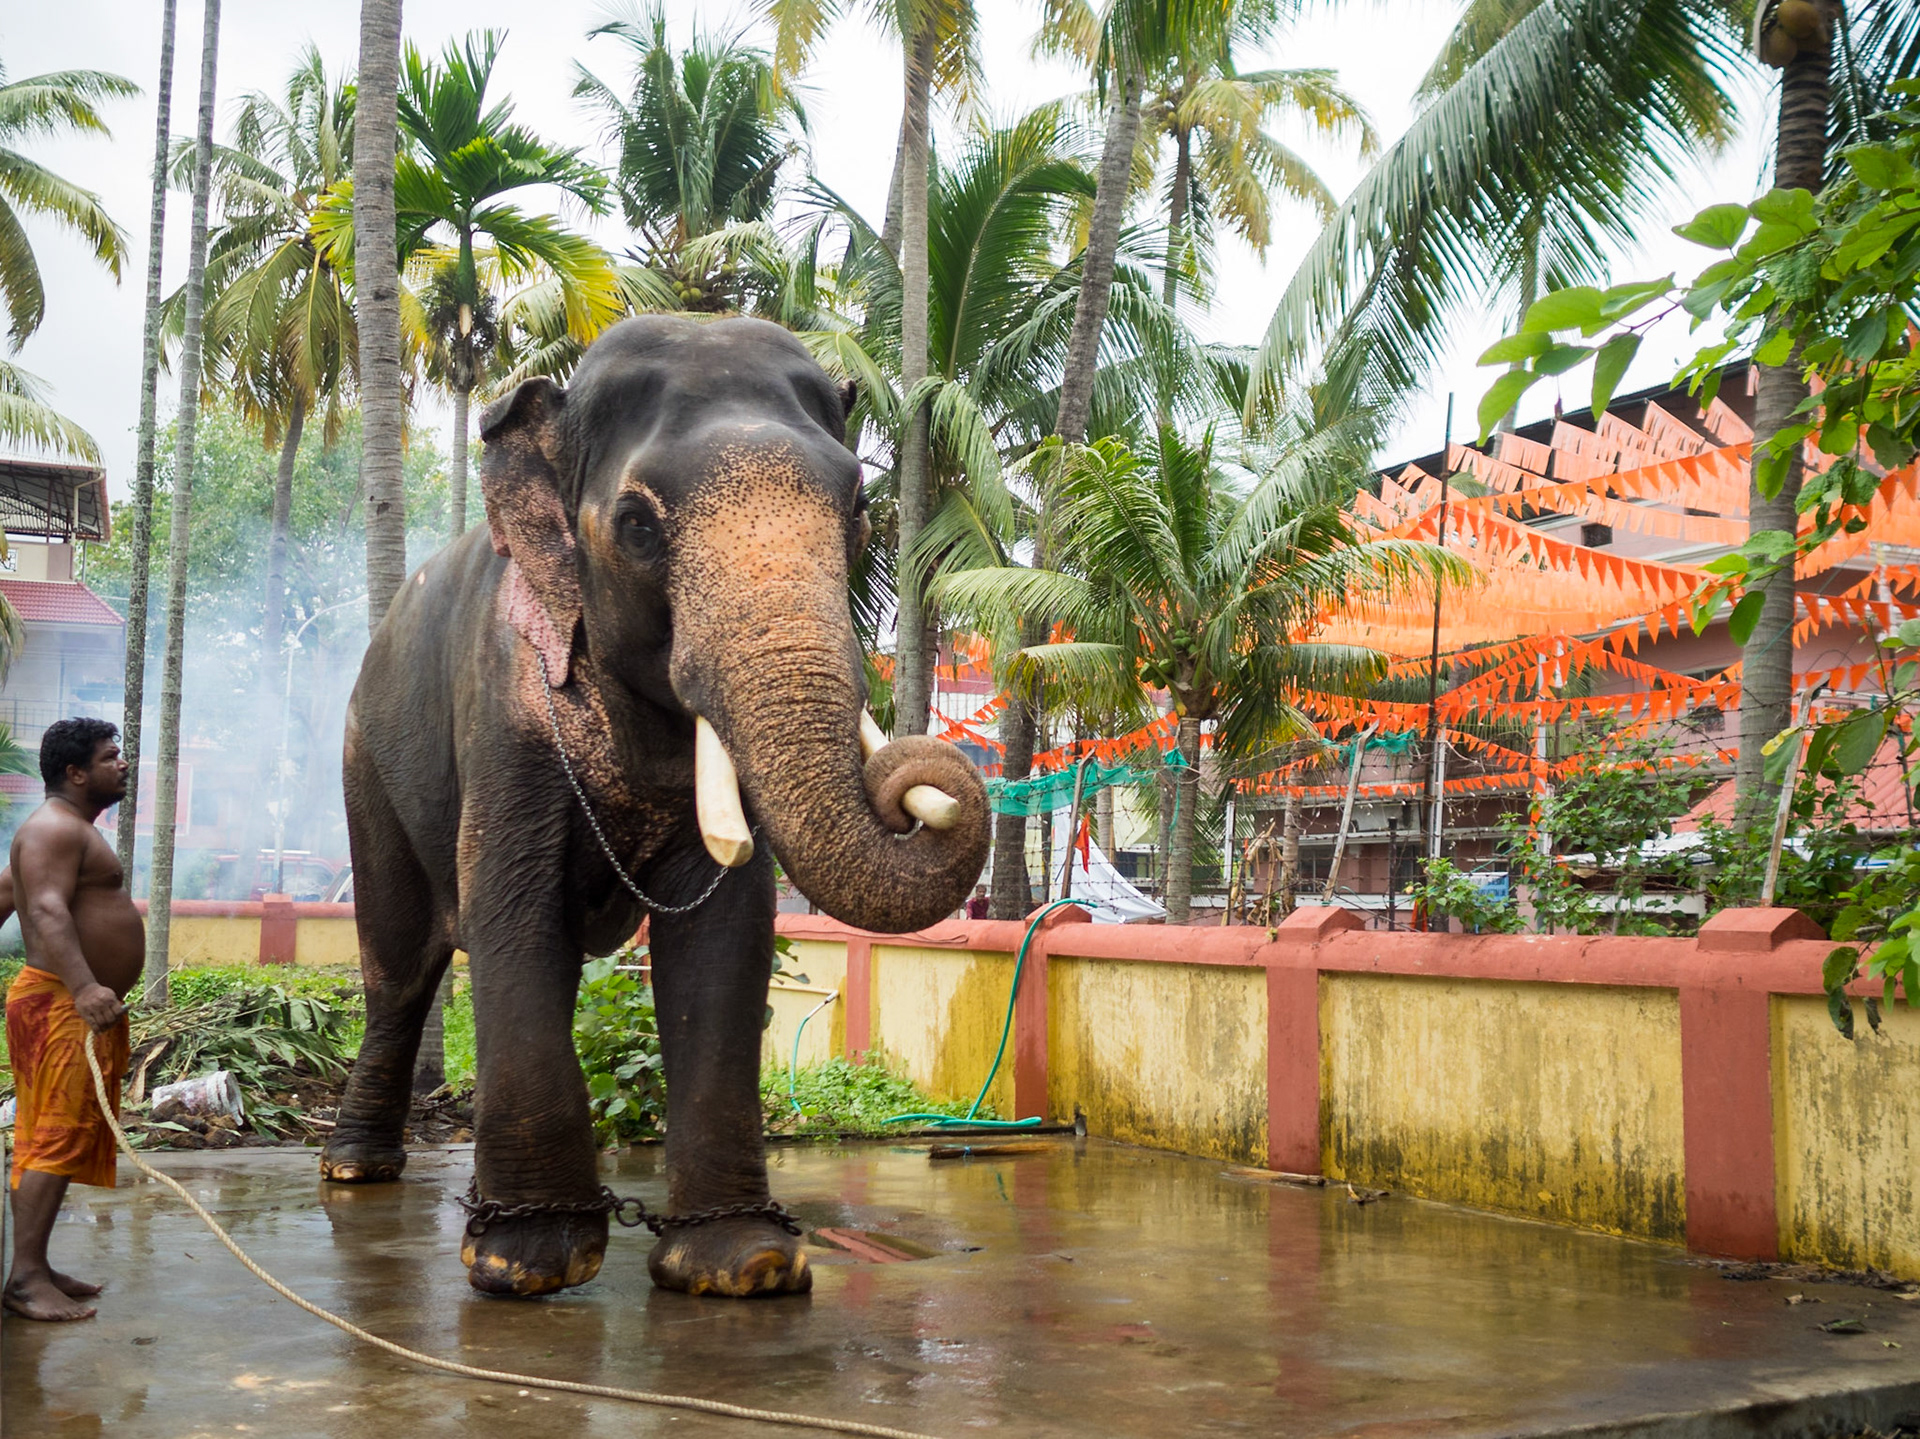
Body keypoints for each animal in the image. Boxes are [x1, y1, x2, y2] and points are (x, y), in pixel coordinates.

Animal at [318, 315, 991, 1299]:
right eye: (637, 526)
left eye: (860, 509)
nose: (914, 789)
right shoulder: (506, 706)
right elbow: (512, 913)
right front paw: (525, 1263)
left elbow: (724, 933)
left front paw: (743, 1263)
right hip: (365, 763)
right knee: (399, 966)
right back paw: (357, 1170)